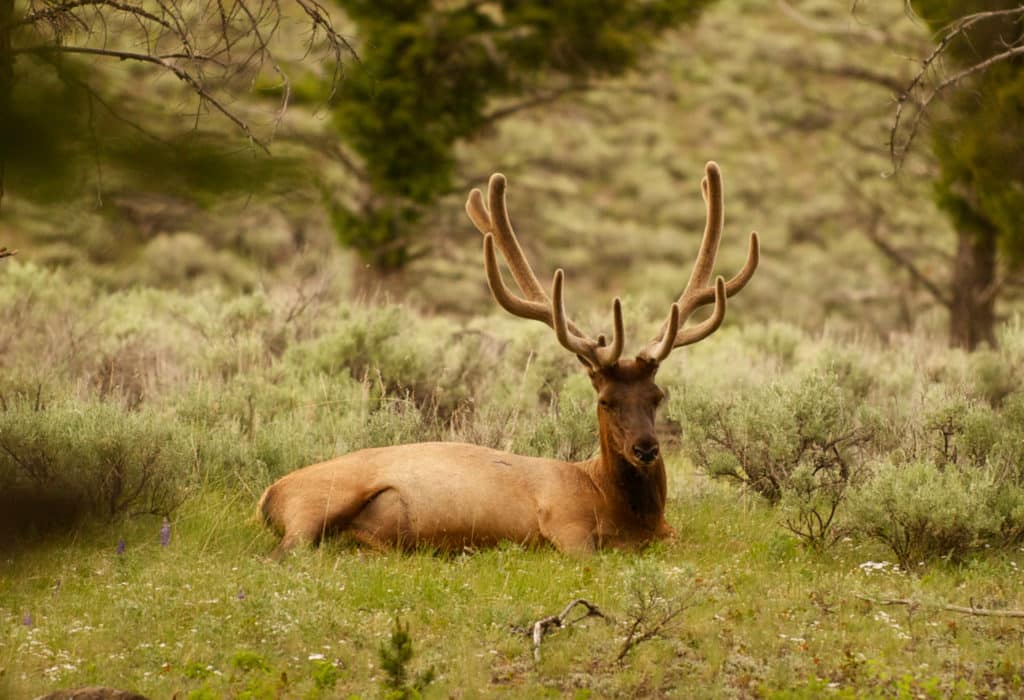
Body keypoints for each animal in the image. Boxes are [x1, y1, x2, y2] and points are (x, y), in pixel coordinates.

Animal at [260, 159, 761, 556]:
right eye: (605, 401)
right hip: (314, 503)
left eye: (657, 395)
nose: (646, 448)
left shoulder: (668, 532)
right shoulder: (564, 522)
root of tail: (268, 496)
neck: (618, 508)